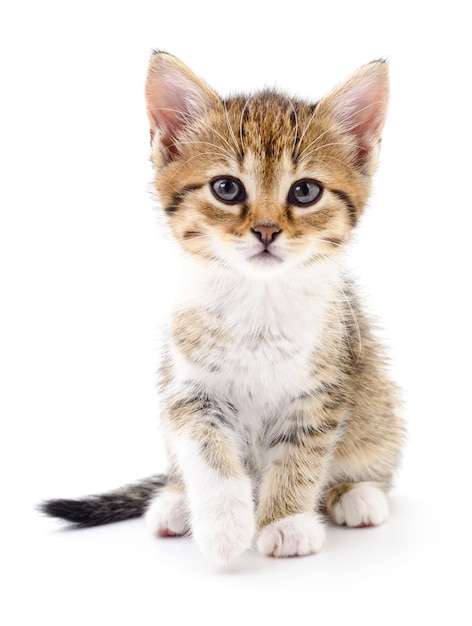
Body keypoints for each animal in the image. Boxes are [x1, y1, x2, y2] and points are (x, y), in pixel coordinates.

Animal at [40, 52, 404, 560]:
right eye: (227, 189)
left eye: (305, 192)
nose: (267, 230)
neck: (259, 300)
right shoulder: (188, 386)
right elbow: (206, 450)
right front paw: (224, 524)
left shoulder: (324, 387)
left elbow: (301, 456)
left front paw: (286, 521)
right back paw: (175, 501)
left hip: (379, 404)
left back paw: (357, 494)